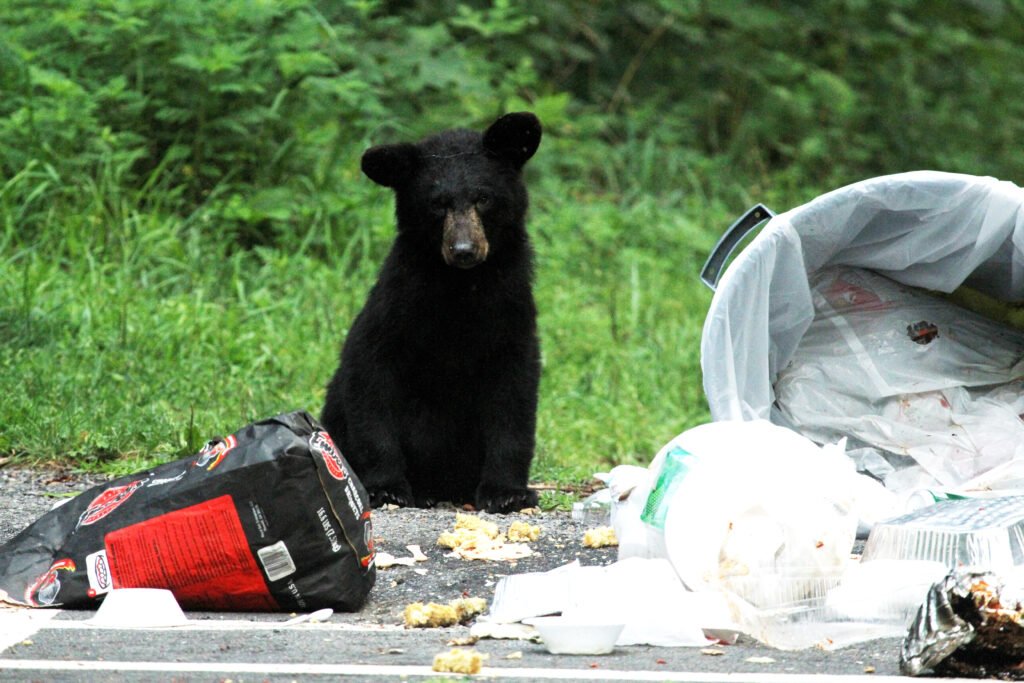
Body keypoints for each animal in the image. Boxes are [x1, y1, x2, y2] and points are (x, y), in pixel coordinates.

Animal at [320, 112, 543, 514]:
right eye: (438, 204)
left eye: (483, 198)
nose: (464, 250)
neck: (461, 287)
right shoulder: (398, 307)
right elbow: (370, 379)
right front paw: (386, 488)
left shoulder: (511, 313)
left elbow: (515, 399)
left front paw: (508, 493)